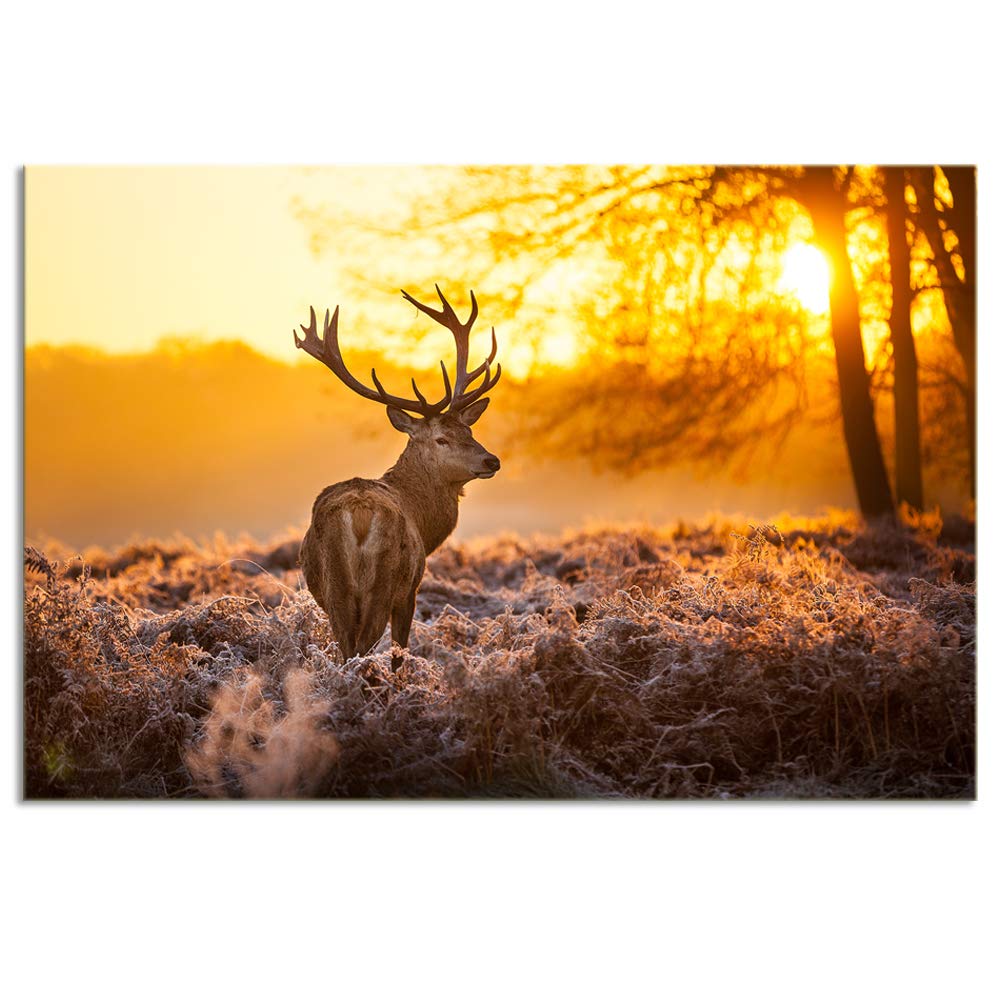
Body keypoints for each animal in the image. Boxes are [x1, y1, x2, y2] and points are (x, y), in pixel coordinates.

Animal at [294, 285, 502, 669]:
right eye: (441, 438)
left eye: (469, 430)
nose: (492, 460)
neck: (424, 521)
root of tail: (359, 513)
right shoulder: (411, 590)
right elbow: (400, 652)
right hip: (385, 581)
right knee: (363, 646)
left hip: (335, 587)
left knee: (346, 648)